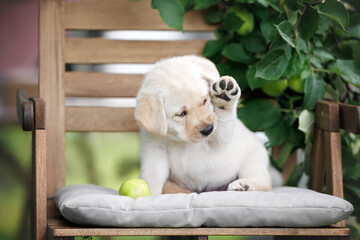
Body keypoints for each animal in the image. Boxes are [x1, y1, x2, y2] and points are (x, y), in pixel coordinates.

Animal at [136, 54, 272, 195]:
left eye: (205, 101)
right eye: (181, 114)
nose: (208, 129)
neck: (181, 141)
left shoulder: (219, 142)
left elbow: (223, 119)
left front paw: (224, 99)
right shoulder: (155, 149)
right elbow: (152, 175)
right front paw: (149, 193)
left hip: (253, 160)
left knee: (264, 182)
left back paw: (243, 184)